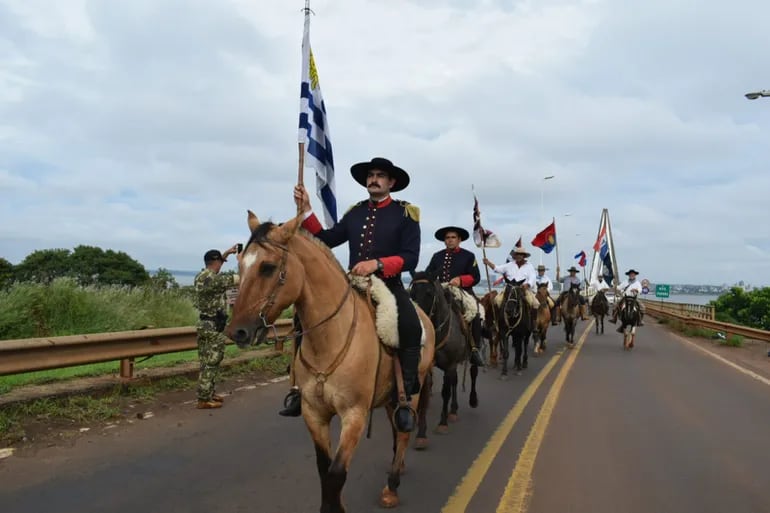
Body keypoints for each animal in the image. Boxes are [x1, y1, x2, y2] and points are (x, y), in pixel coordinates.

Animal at [226, 210, 432, 510]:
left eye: (267, 267)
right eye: (240, 266)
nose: (236, 332)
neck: (329, 338)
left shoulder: (354, 415)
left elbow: (336, 473)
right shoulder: (314, 413)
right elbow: (324, 470)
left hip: (412, 391)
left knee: (404, 431)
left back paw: (392, 486)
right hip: (389, 395)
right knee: (396, 427)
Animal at [404, 272, 476, 444]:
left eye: (429, 293)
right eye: (411, 293)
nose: (419, 324)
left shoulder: (449, 365)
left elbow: (445, 392)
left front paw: (442, 423)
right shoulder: (427, 368)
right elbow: (424, 395)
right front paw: (421, 432)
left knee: (471, 375)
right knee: (455, 382)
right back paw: (453, 410)